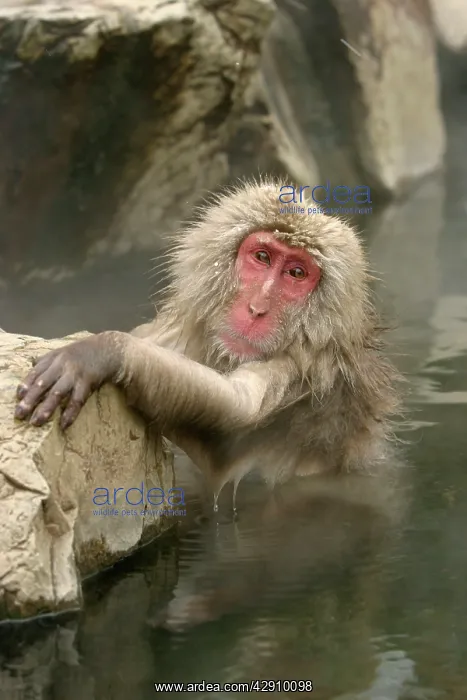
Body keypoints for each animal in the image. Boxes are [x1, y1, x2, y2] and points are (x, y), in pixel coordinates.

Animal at [14, 180, 402, 495]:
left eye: (296, 273)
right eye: (262, 256)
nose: (257, 308)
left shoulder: (305, 370)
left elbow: (233, 423)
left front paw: (104, 351)